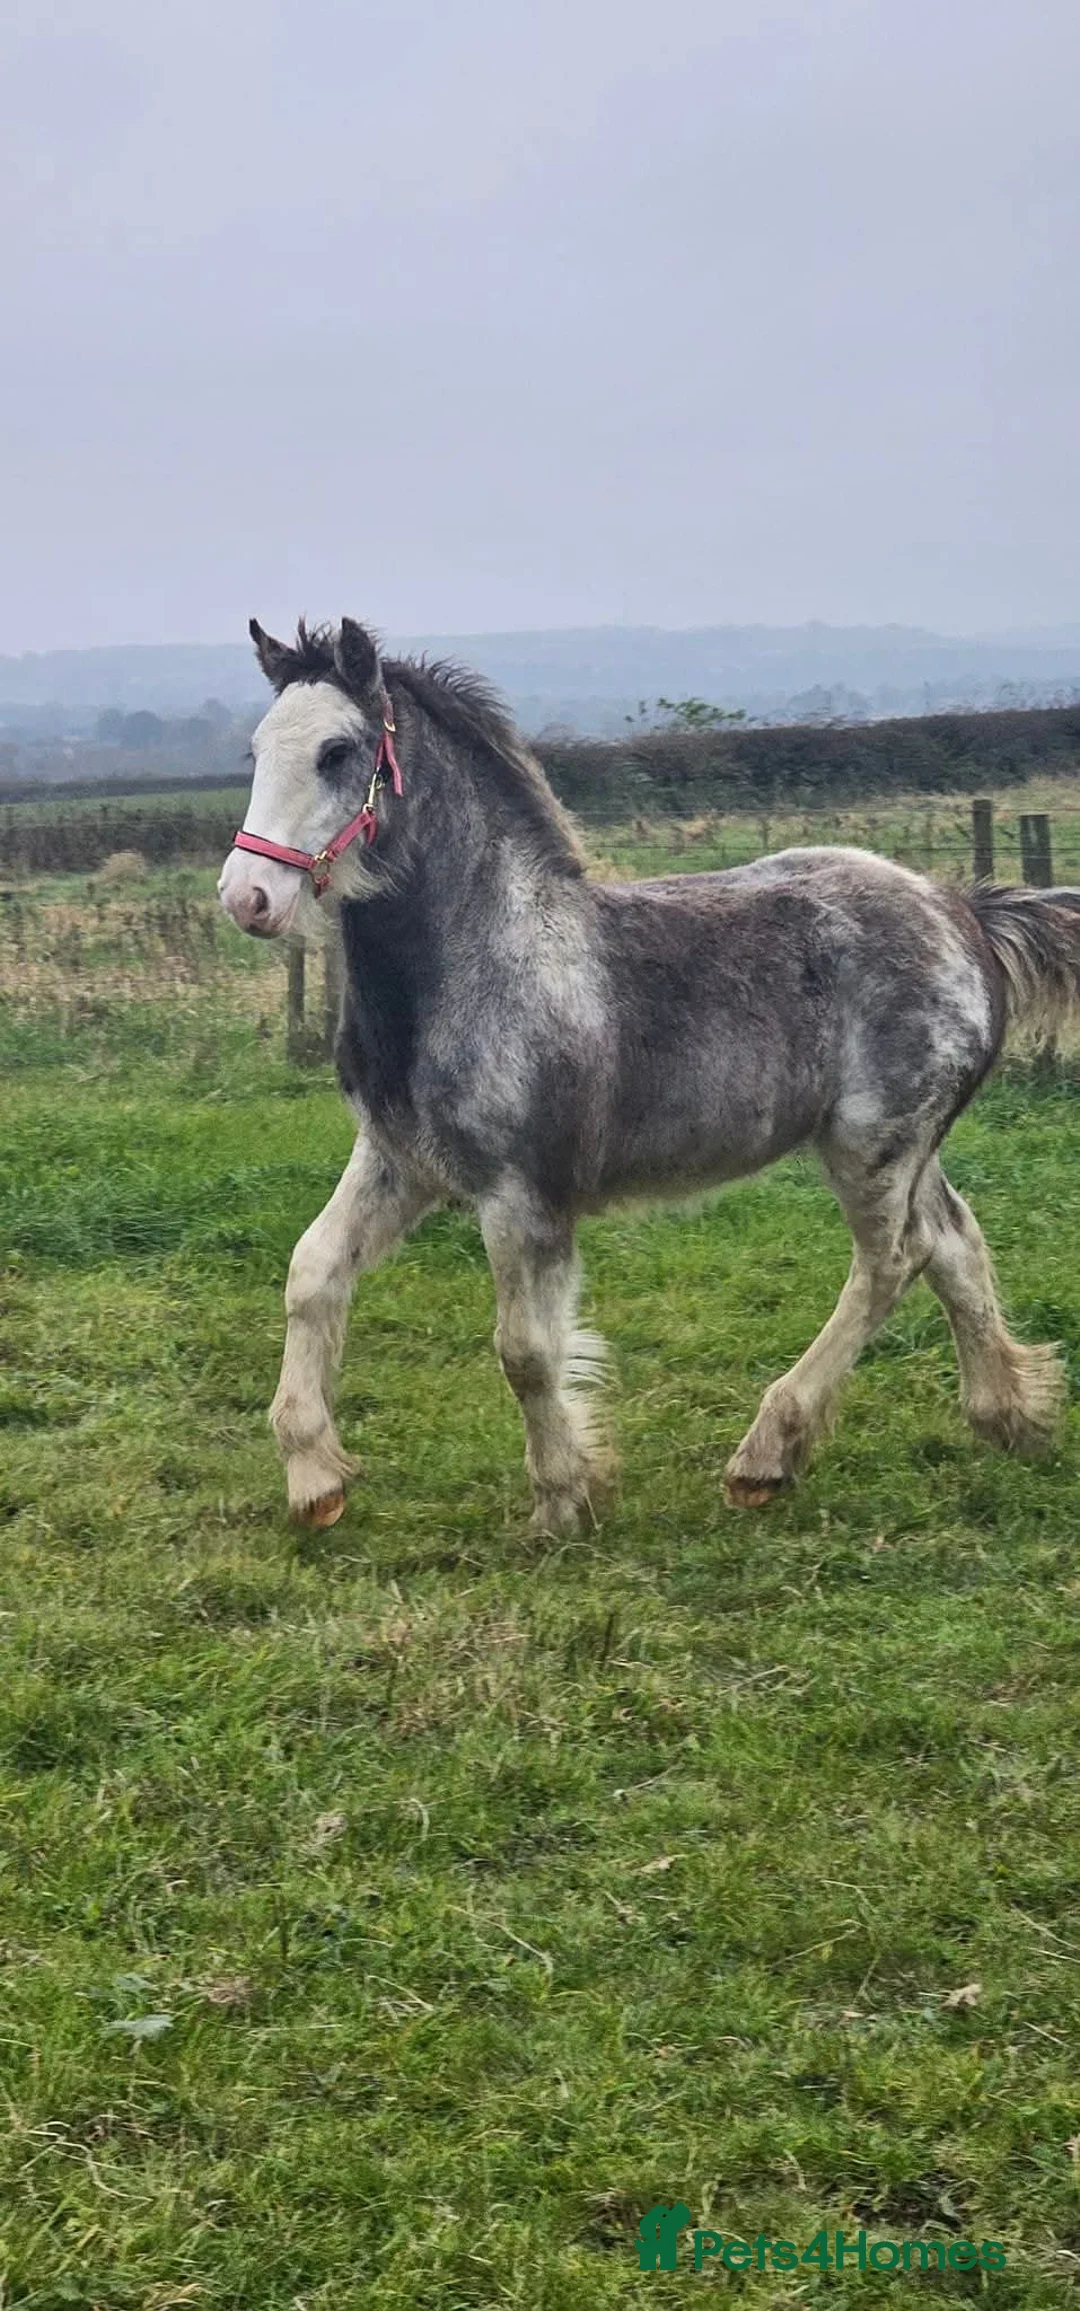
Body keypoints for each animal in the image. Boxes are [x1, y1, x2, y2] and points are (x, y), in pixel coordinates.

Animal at [218, 615, 1080, 1533]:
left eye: (337, 751)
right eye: (256, 750)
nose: (248, 897)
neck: (478, 962)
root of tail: (962, 911)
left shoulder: (522, 1193)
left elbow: (526, 1350)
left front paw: (563, 1500)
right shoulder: (398, 1162)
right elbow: (311, 1274)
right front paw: (315, 1478)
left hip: (870, 1144)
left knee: (894, 1259)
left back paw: (766, 1456)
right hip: (904, 1144)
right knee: (953, 1238)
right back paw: (1010, 1417)